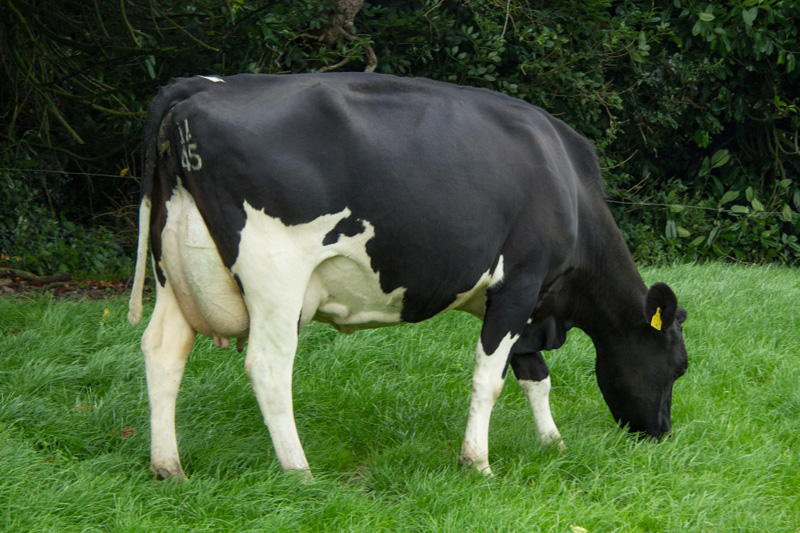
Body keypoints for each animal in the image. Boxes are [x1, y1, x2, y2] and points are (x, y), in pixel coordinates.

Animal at [126, 71, 688, 478]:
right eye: (678, 367)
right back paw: (299, 470)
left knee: (163, 351)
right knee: (267, 365)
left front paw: (553, 442)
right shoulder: (520, 283)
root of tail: (197, 88)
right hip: (275, 276)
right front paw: (477, 463)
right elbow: (490, 379)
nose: (662, 434)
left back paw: (168, 466)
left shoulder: (523, 303)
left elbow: (534, 375)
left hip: (171, 269)